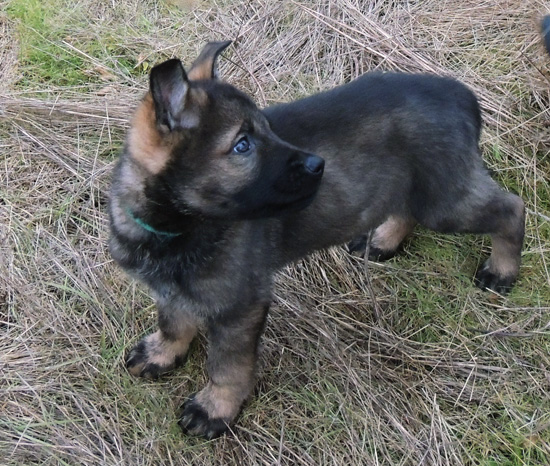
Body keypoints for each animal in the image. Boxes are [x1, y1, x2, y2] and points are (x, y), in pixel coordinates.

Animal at [108, 41, 528, 438]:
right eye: (243, 145)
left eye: (265, 130)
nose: (318, 164)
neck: (177, 228)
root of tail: (461, 93)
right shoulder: (169, 287)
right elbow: (173, 321)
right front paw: (163, 353)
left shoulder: (240, 305)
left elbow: (227, 364)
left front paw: (216, 408)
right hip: (414, 187)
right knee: (406, 208)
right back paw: (383, 240)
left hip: (443, 200)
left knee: (511, 208)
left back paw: (502, 270)